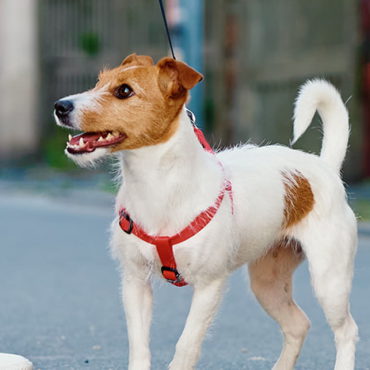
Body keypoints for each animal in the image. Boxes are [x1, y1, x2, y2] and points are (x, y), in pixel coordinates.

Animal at [55, 53, 358, 368]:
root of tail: (324, 167)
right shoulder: (134, 282)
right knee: (298, 324)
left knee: (347, 331)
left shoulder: (209, 286)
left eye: (124, 91)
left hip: (329, 281)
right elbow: (139, 347)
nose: (60, 106)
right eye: (97, 82)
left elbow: (186, 346)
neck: (159, 186)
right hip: (267, 282)